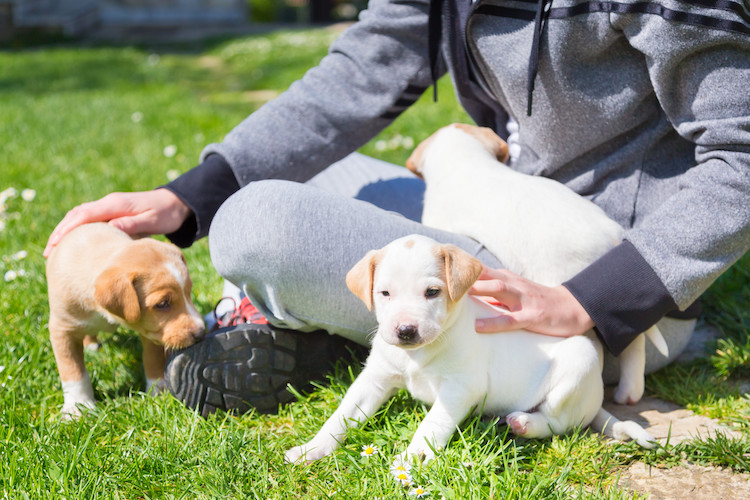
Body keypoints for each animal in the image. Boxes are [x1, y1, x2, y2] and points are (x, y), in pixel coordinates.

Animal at [47, 223, 206, 418]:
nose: (201, 332)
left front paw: (158, 391)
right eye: (162, 304)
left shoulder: (151, 334)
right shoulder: (62, 330)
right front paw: (78, 406)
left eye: (189, 292)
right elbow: (72, 370)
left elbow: (153, 359)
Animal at [284, 234, 656, 464]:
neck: (420, 354)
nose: (405, 331)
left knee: (558, 422)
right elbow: (341, 416)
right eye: (384, 293)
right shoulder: (374, 379)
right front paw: (312, 449)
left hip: (579, 365)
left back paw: (524, 423)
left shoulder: (460, 389)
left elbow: (432, 425)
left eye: (432, 292)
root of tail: (595, 399)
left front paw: (414, 459)